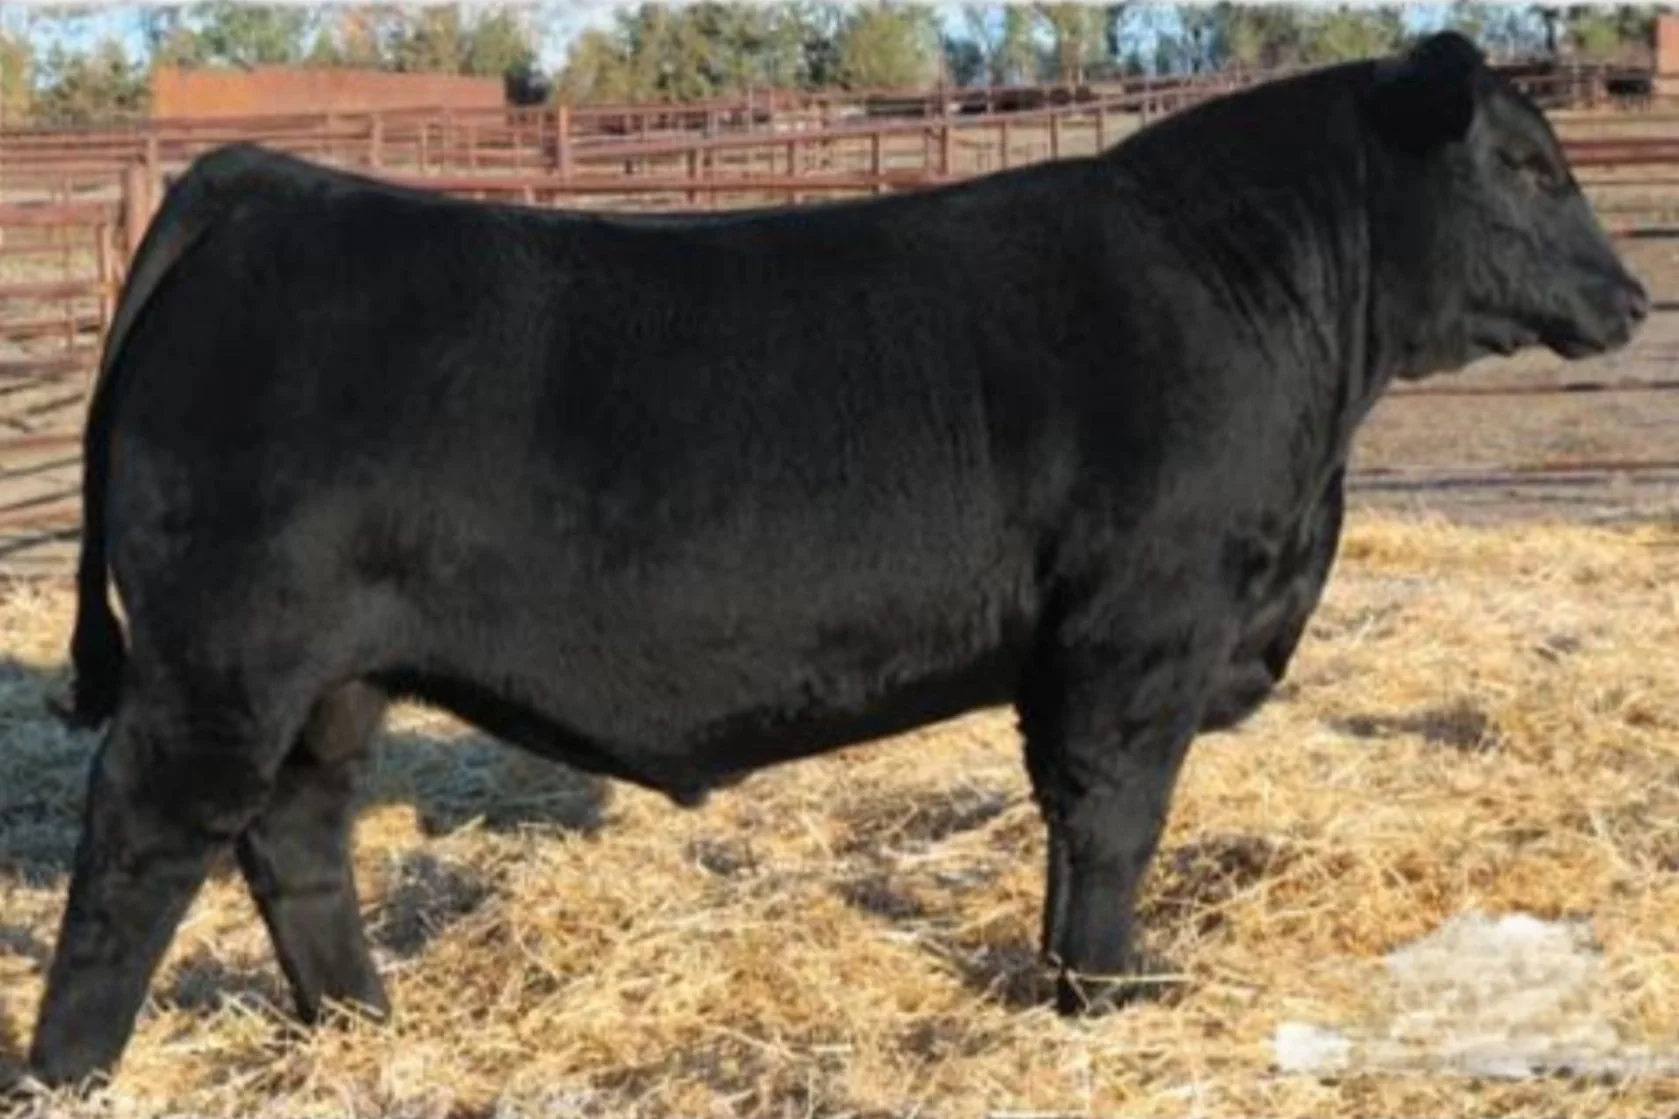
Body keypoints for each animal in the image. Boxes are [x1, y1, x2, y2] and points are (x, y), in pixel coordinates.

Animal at [27, 31, 1647, 1087]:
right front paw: (1111, 995)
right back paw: (69, 1071)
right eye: (1521, 164)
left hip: (326, 681)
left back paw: (365, 1032)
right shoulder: (1138, 629)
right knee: (143, 842)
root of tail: (262, 181)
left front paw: (1074, 985)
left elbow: (1072, 827)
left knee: (294, 838)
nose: (1628, 296)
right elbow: (1113, 819)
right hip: (227, 658)